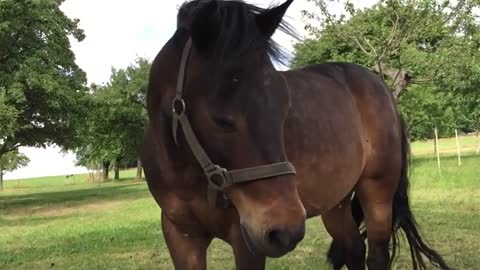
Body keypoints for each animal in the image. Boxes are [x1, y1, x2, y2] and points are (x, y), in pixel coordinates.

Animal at [141, 0, 452, 270]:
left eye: (283, 106)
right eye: (219, 118)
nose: (284, 230)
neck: (185, 173)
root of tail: (381, 87)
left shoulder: (246, 241)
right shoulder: (181, 236)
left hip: (377, 194)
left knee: (376, 256)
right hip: (336, 204)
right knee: (353, 248)